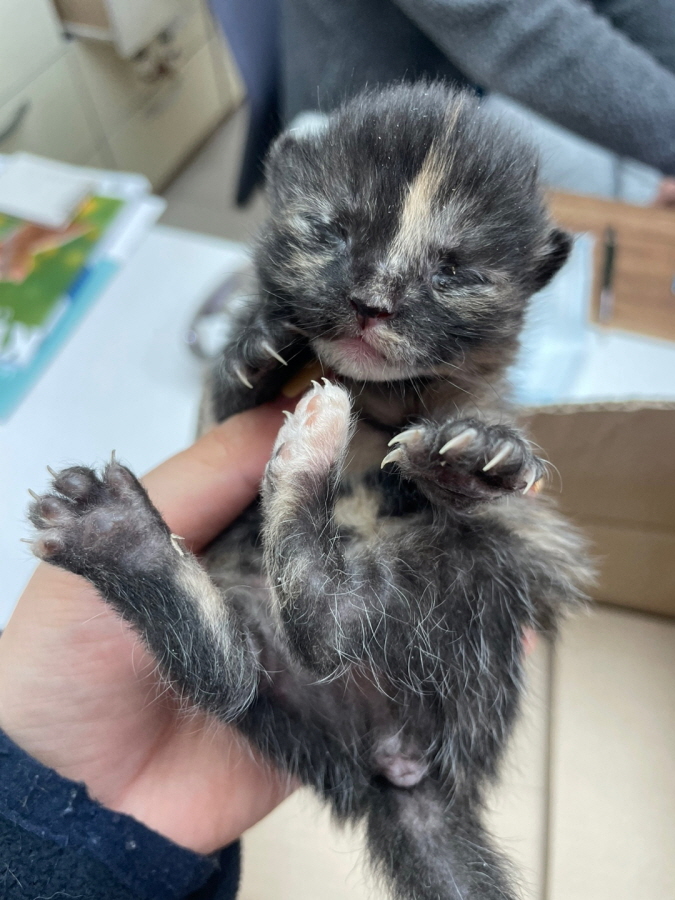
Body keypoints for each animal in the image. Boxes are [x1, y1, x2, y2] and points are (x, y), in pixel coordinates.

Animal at [30, 86, 592, 900]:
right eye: (330, 231)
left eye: (454, 271)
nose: (372, 302)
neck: (377, 396)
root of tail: (398, 765)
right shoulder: (215, 419)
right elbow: (226, 395)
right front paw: (253, 351)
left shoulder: (484, 410)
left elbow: (495, 452)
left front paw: (482, 451)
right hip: (282, 683)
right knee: (236, 669)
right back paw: (124, 538)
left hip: (486, 588)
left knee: (326, 621)